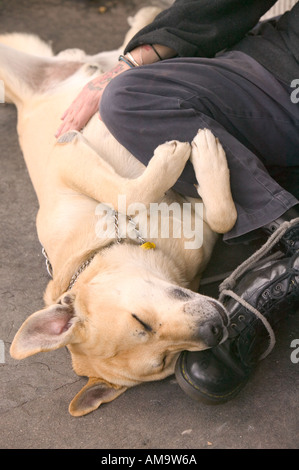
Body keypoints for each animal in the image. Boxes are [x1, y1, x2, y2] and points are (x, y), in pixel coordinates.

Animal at [1, 7, 238, 416]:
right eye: (165, 360)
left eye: (138, 319)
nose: (215, 330)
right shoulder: (201, 219)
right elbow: (225, 215)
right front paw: (203, 156)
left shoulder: (63, 157)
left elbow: (129, 192)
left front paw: (187, 152)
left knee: (127, 48)